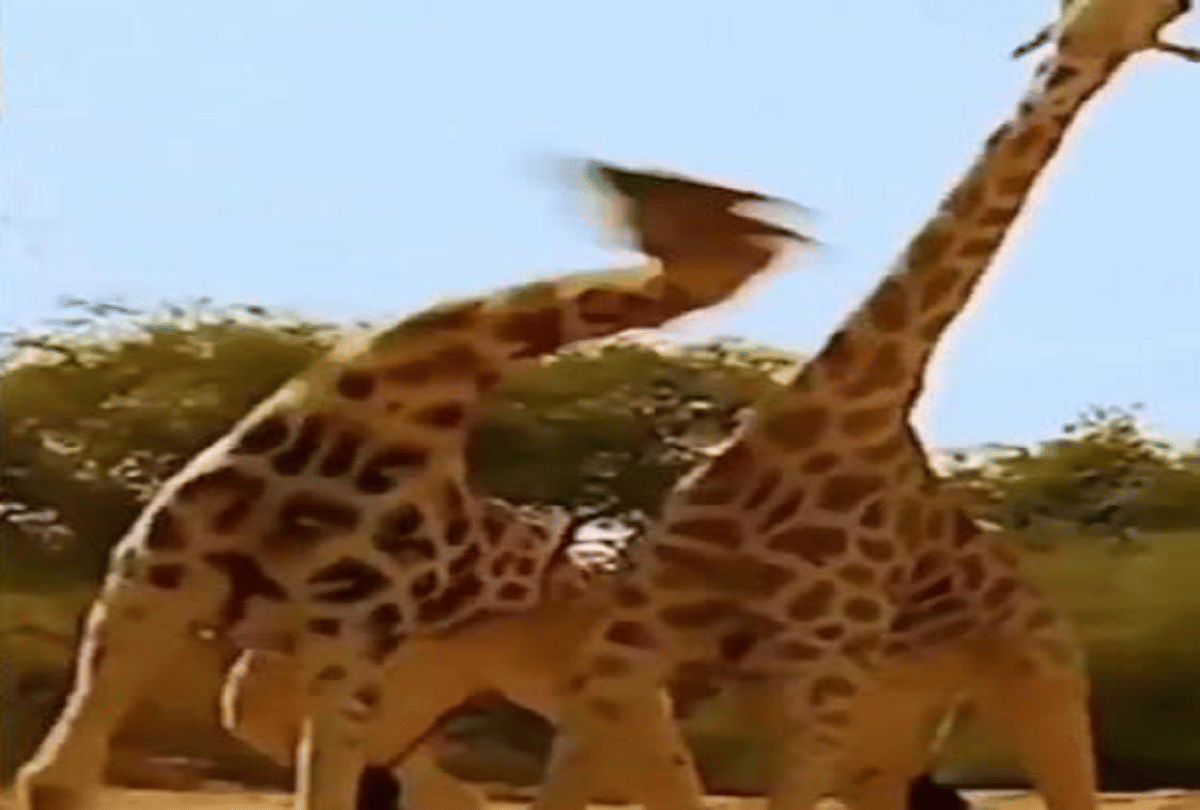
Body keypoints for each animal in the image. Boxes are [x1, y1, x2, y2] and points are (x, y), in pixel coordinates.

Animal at [15, 161, 814, 810]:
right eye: (696, 205)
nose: (604, 181)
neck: (386, 403)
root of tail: (586, 581)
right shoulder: (154, 581)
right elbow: (53, 779)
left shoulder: (342, 634)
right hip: (334, 684)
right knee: (445, 787)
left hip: (581, 677)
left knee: (665, 778)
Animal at [512, 5, 1197, 810]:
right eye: (1065, 18)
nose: (1087, 48)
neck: (843, 403)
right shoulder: (636, 634)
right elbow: (565, 779)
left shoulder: (823, 670)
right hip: (883, 731)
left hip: (1040, 679)